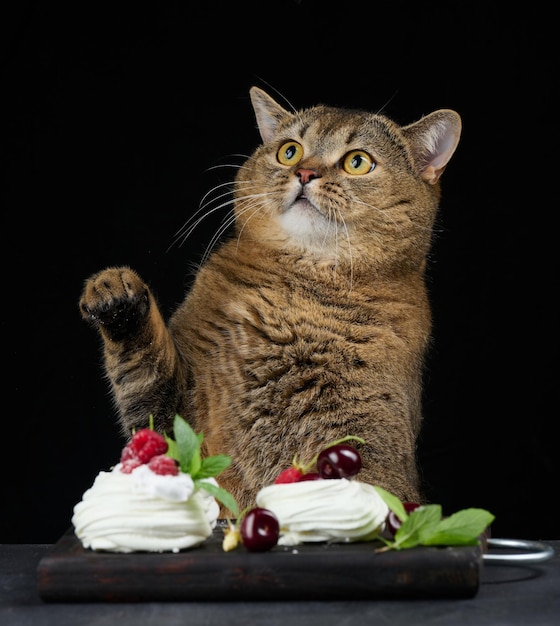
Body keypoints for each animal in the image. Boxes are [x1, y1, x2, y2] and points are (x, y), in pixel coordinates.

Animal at [80, 84, 464, 512]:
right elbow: (144, 379)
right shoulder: (175, 419)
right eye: (289, 151)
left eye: (358, 162)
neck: (298, 290)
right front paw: (115, 291)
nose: (305, 173)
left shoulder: (370, 438)